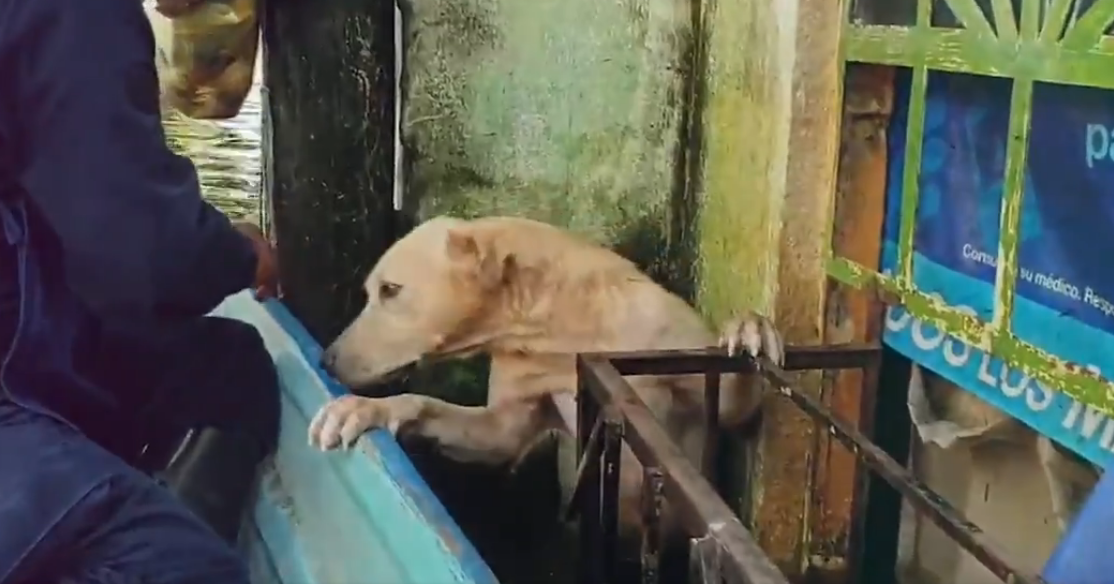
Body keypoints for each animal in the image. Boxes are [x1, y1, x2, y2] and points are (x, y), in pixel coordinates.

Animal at [305, 213, 779, 543]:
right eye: (371, 290)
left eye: (390, 290)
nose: (327, 358)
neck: (556, 326)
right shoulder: (521, 389)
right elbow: (492, 433)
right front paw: (362, 409)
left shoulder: (668, 343)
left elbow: (735, 399)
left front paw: (750, 330)